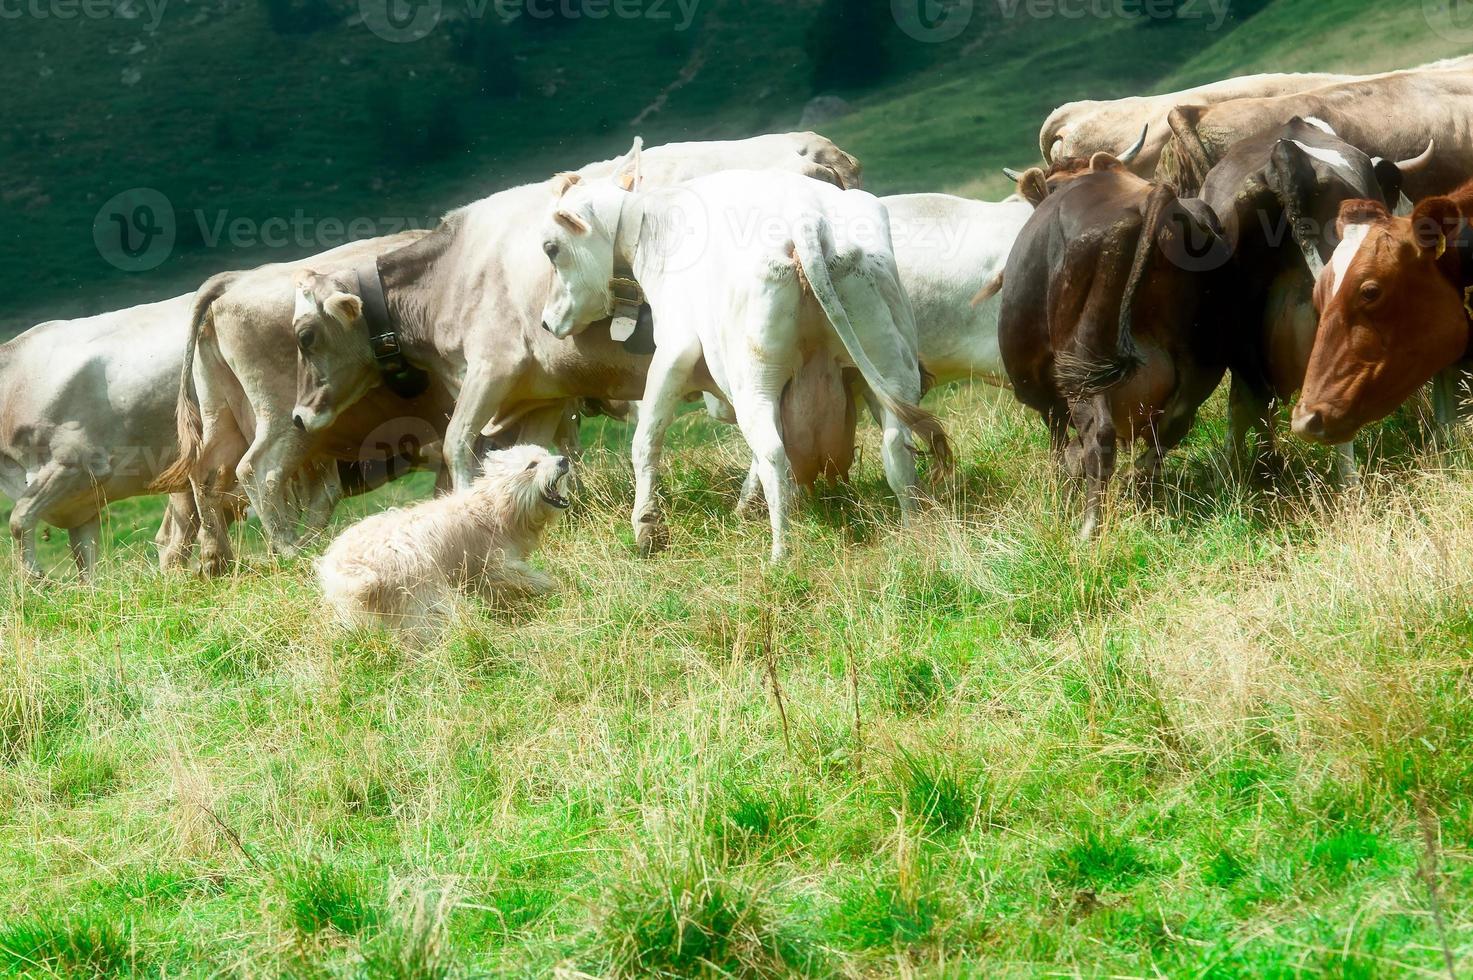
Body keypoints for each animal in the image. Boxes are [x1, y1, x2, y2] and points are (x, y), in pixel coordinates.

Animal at [316, 448, 568, 630]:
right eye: (532, 465)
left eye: (545, 453)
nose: (563, 460)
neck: (494, 506)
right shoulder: (494, 563)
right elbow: (525, 578)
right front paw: (553, 586)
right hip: (417, 591)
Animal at [536, 156, 948, 562]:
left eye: (551, 248)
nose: (546, 321)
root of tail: (807, 220)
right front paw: (745, 507)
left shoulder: (674, 348)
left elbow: (646, 440)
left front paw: (647, 528)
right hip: (888, 368)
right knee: (895, 446)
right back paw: (914, 534)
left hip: (755, 379)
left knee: (773, 453)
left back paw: (781, 554)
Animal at [1001, 168, 1231, 536]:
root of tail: (1153, 199)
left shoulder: (1045, 398)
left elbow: (1058, 447)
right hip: (1203, 359)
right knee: (1175, 422)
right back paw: (1137, 489)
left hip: (1083, 366)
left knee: (1100, 437)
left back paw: (1089, 526)